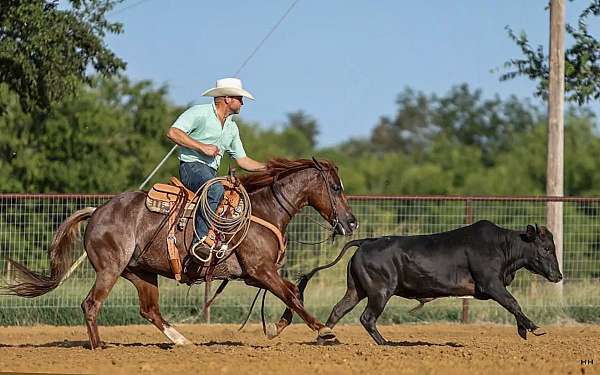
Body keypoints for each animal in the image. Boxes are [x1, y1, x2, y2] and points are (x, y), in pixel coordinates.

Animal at [3, 158, 356, 350]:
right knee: (91, 304)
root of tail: (97, 211)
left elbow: (293, 291)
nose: (351, 222)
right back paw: (100, 348)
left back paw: (182, 341)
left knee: (149, 310)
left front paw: (281, 326)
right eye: (335, 188)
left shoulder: (254, 275)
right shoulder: (261, 270)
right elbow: (292, 294)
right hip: (110, 269)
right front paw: (324, 330)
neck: (263, 210)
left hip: (141, 272)